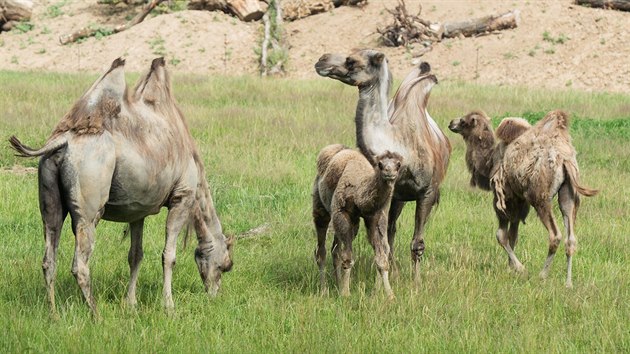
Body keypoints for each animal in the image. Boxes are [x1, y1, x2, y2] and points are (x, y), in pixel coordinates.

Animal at [8, 57, 235, 316]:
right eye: (226, 265)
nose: (214, 294)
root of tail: (63, 141)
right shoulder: (182, 196)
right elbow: (169, 255)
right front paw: (169, 306)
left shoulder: (138, 210)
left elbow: (135, 255)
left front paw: (131, 303)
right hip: (90, 200)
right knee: (80, 262)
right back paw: (96, 314)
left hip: (49, 193)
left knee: (49, 254)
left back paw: (54, 314)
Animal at [312, 144, 404, 298]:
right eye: (380, 164)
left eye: (398, 165)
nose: (389, 172)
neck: (359, 194)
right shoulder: (342, 213)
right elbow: (348, 258)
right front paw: (345, 293)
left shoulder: (375, 218)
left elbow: (381, 259)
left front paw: (390, 295)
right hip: (321, 208)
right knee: (321, 250)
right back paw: (324, 290)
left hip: (350, 223)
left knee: (335, 250)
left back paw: (337, 284)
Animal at [314, 50, 452, 282]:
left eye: (352, 61)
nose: (321, 60)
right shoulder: (387, 194)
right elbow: (383, 240)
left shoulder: (427, 193)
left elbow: (417, 244)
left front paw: (416, 282)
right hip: (398, 199)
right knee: (391, 230)